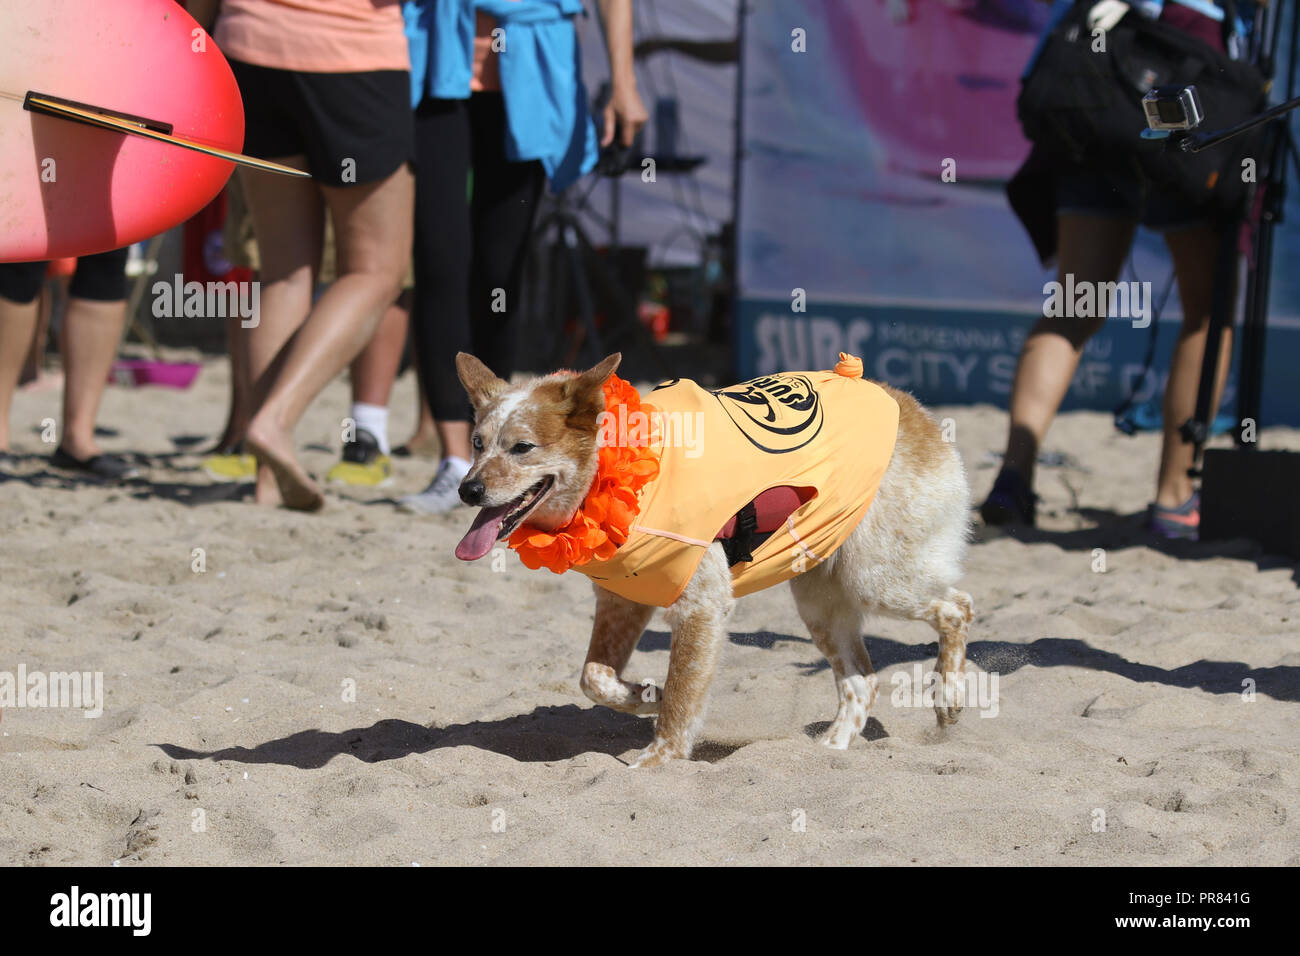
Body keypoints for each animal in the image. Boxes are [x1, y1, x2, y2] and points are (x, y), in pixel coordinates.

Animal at [452, 351, 972, 770]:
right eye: (477, 443)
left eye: (522, 447)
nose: (467, 490)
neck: (611, 476)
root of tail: (909, 405)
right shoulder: (622, 601)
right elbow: (594, 678)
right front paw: (644, 696)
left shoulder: (701, 607)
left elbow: (681, 699)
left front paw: (658, 758)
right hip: (819, 598)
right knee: (862, 681)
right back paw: (828, 751)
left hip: (876, 579)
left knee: (958, 607)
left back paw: (948, 694)